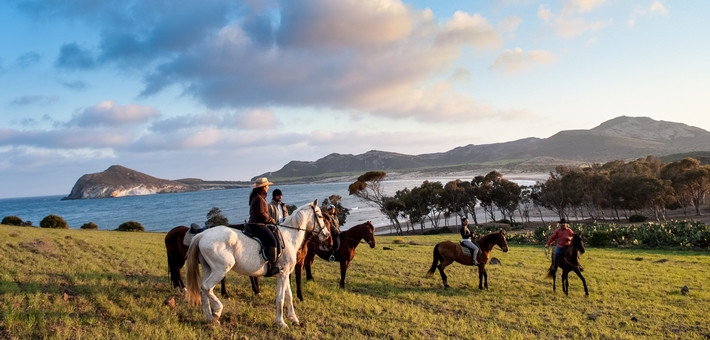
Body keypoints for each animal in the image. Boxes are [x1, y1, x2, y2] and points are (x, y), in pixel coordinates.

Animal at [186, 199, 330, 326]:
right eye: (320, 216)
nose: (327, 234)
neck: (289, 237)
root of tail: (202, 235)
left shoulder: (284, 274)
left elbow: (289, 296)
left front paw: (293, 319)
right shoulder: (283, 274)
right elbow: (280, 299)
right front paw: (281, 322)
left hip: (208, 269)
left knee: (202, 290)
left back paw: (210, 319)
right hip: (221, 269)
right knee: (206, 287)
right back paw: (217, 312)